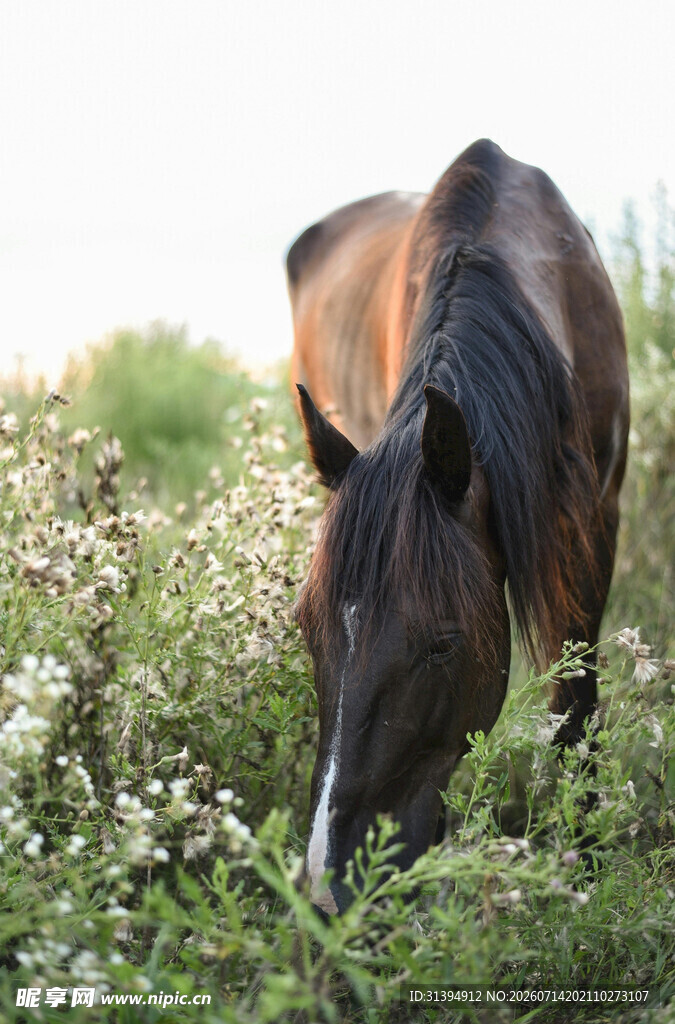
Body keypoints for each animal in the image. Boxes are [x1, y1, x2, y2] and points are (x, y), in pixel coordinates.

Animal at [285, 139, 629, 916]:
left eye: (442, 645)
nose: (329, 885)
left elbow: (577, 702)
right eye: (306, 629)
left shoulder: (597, 520)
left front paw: (585, 862)